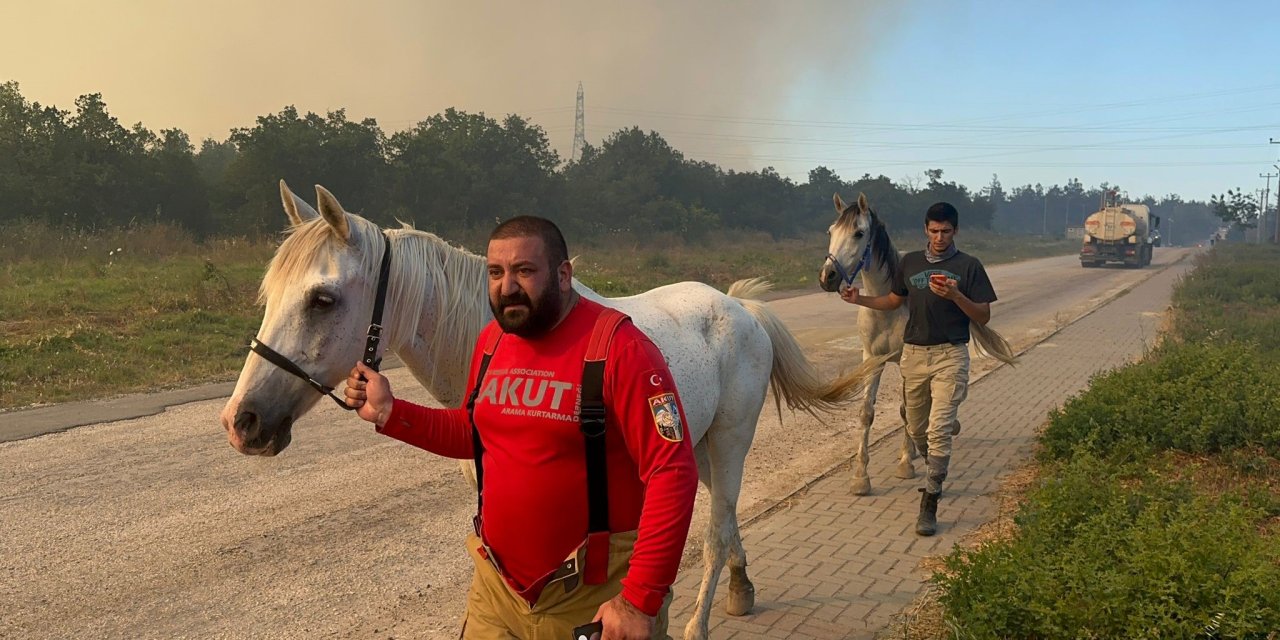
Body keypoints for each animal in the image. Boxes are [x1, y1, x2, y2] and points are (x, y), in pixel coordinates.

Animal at [222, 180, 880, 640]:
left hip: (730, 439)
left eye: (323, 298)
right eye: (269, 294)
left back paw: (702, 619)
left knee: (716, 531)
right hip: (698, 444)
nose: (241, 423)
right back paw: (741, 590)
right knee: (727, 516)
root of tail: (741, 308)